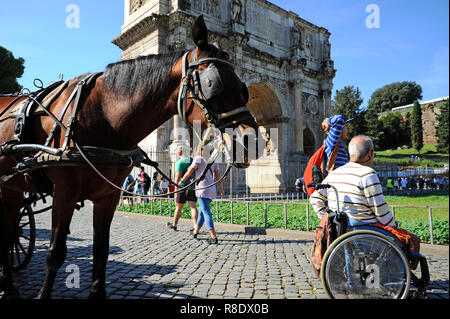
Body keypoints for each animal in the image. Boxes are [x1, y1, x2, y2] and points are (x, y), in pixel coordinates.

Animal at [0, 15, 260, 300]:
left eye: (244, 88)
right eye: (213, 83)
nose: (253, 141)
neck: (102, 117)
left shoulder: (108, 196)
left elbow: (101, 251)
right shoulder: (64, 193)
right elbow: (56, 252)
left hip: (12, 189)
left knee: (9, 230)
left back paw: (8, 284)